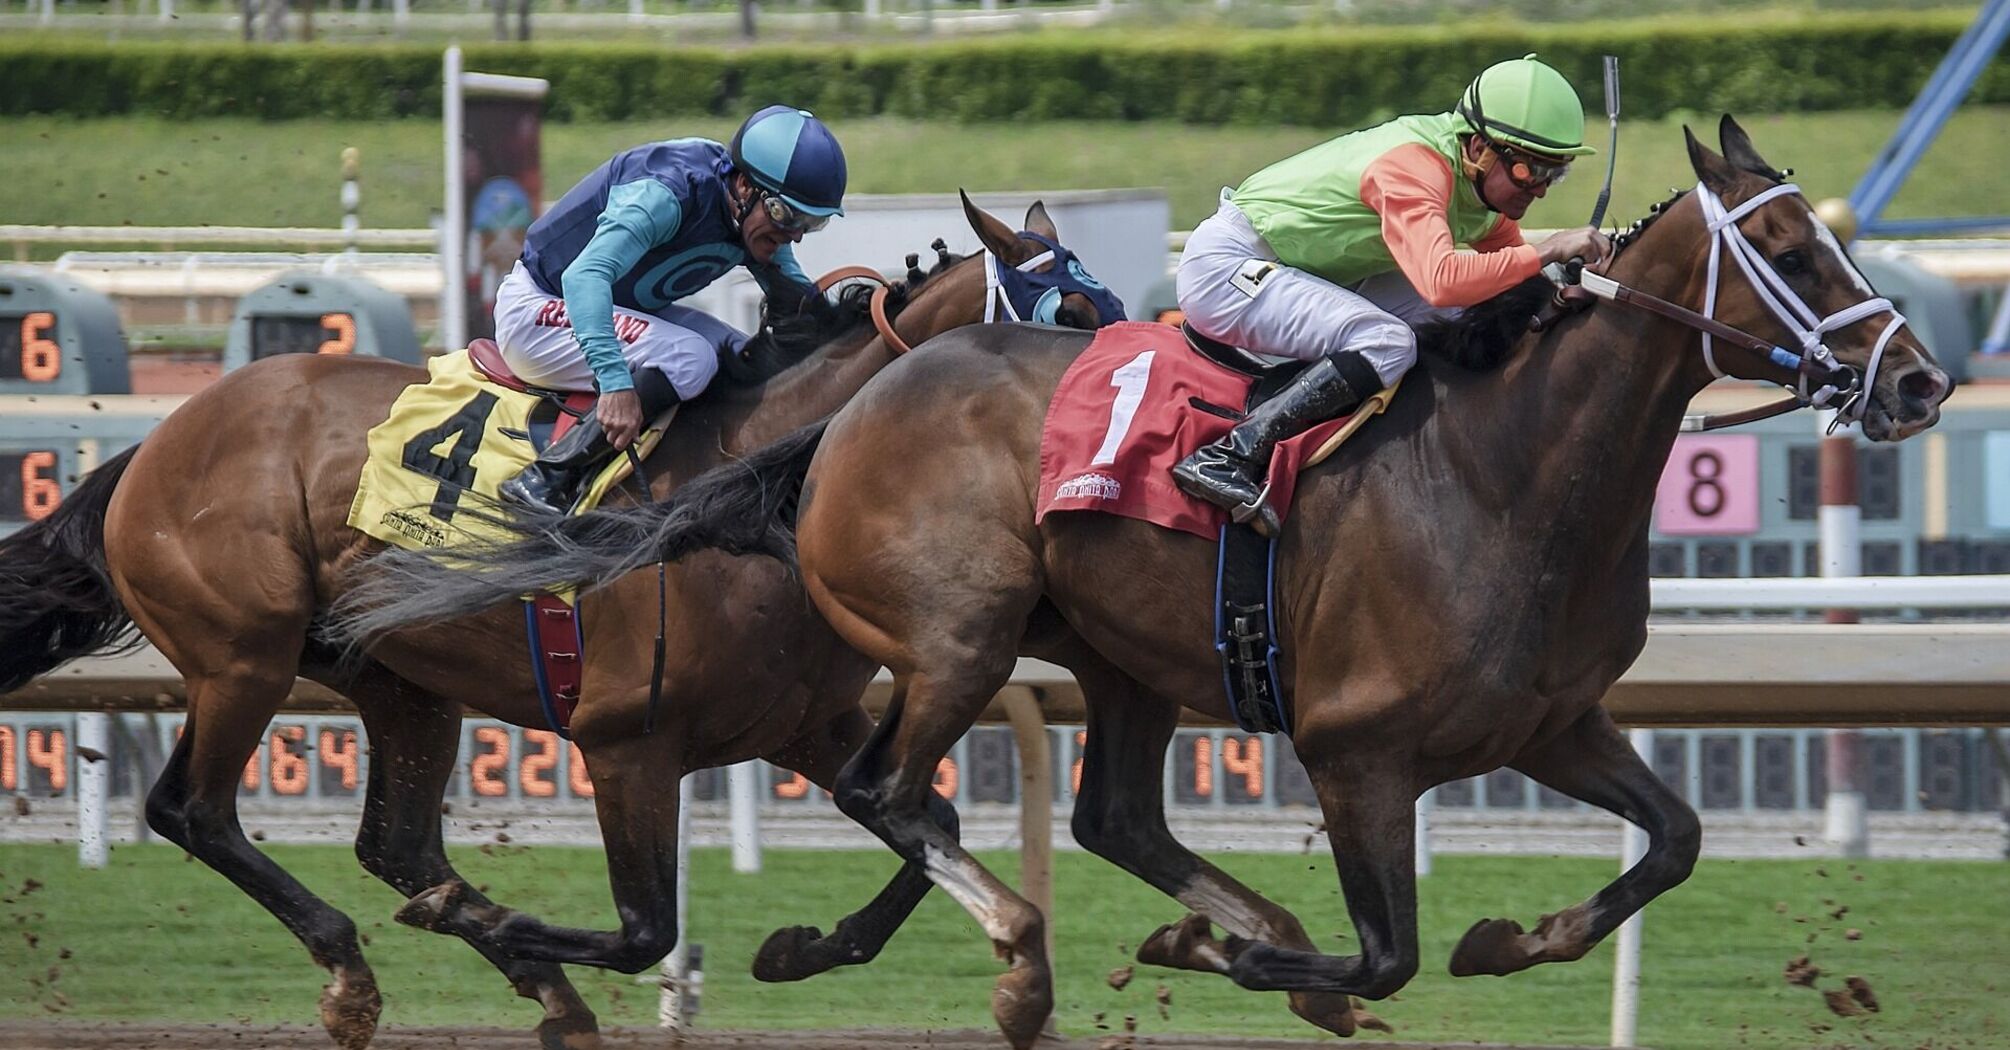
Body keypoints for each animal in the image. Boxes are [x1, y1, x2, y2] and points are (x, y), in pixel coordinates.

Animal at [0, 198, 1117, 1045]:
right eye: (1069, 303)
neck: (749, 498)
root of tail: (155, 445)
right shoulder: (626, 742)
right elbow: (647, 929)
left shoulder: (803, 722)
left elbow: (925, 821)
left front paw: (804, 948)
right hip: (243, 656)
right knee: (192, 810)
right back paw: (357, 970)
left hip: (400, 682)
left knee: (397, 847)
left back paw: (525, 978)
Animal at [416, 116, 1953, 1037]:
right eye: (1796, 246)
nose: (1921, 382)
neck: (1508, 476)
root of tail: (844, 412)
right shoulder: (1356, 750)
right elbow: (1382, 953)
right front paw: (1226, 958)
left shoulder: (1552, 723)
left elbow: (1673, 841)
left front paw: (1512, 937)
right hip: (961, 636)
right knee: (886, 789)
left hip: (1119, 660)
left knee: (1085, 814)